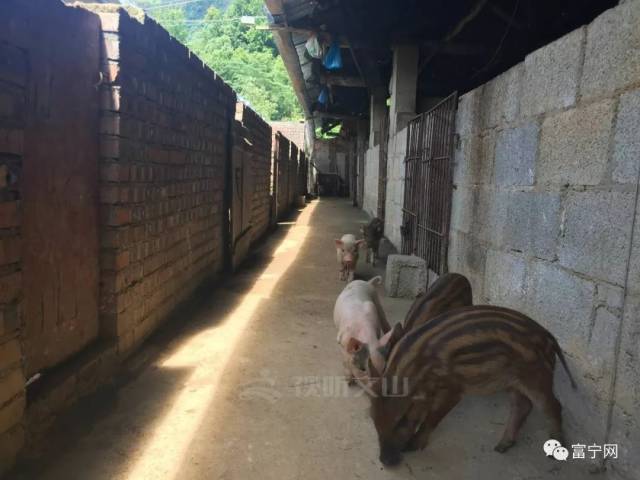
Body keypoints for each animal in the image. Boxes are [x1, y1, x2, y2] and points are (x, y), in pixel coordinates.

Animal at [362, 306, 576, 466]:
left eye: (401, 420)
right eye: (373, 418)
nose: (386, 461)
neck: (420, 368)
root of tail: (550, 336)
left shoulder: (454, 389)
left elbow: (432, 418)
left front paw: (413, 446)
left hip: (536, 377)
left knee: (553, 406)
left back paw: (556, 449)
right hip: (511, 381)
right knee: (522, 406)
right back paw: (501, 447)